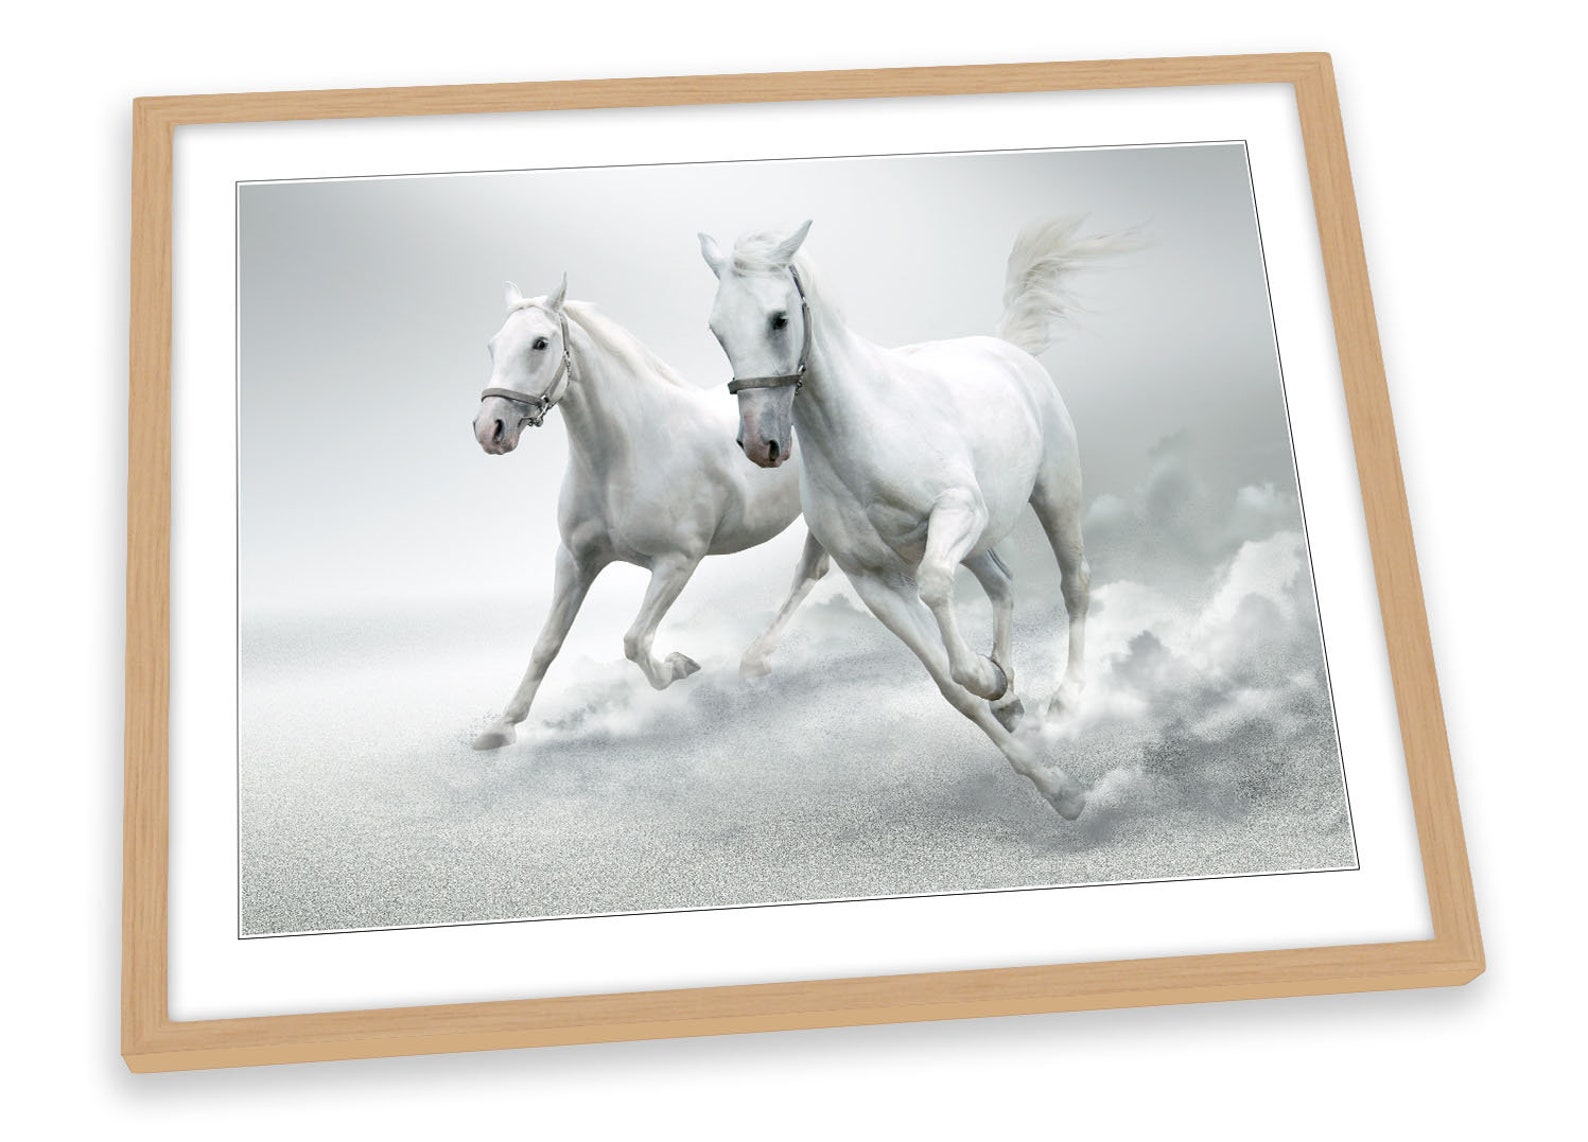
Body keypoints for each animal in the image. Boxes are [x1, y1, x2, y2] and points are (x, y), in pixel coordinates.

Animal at [469, 275, 823, 750]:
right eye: (493, 345)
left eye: (540, 343)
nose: (490, 429)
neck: (630, 450)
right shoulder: (575, 561)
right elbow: (547, 644)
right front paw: (501, 727)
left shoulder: (677, 561)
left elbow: (635, 640)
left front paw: (678, 665)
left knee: (808, 574)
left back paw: (754, 658)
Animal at [698, 219, 1130, 818]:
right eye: (717, 330)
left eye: (779, 318)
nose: (761, 445)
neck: (863, 431)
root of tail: (1006, 349)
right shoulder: (875, 582)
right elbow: (952, 689)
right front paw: (1056, 787)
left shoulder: (955, 513)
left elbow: (937, 594)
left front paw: (989, 678)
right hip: (981, 541)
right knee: (1002, 583)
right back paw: (1014, 698)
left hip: (1054, 493)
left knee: (1075, 584)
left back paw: (1065, 701)